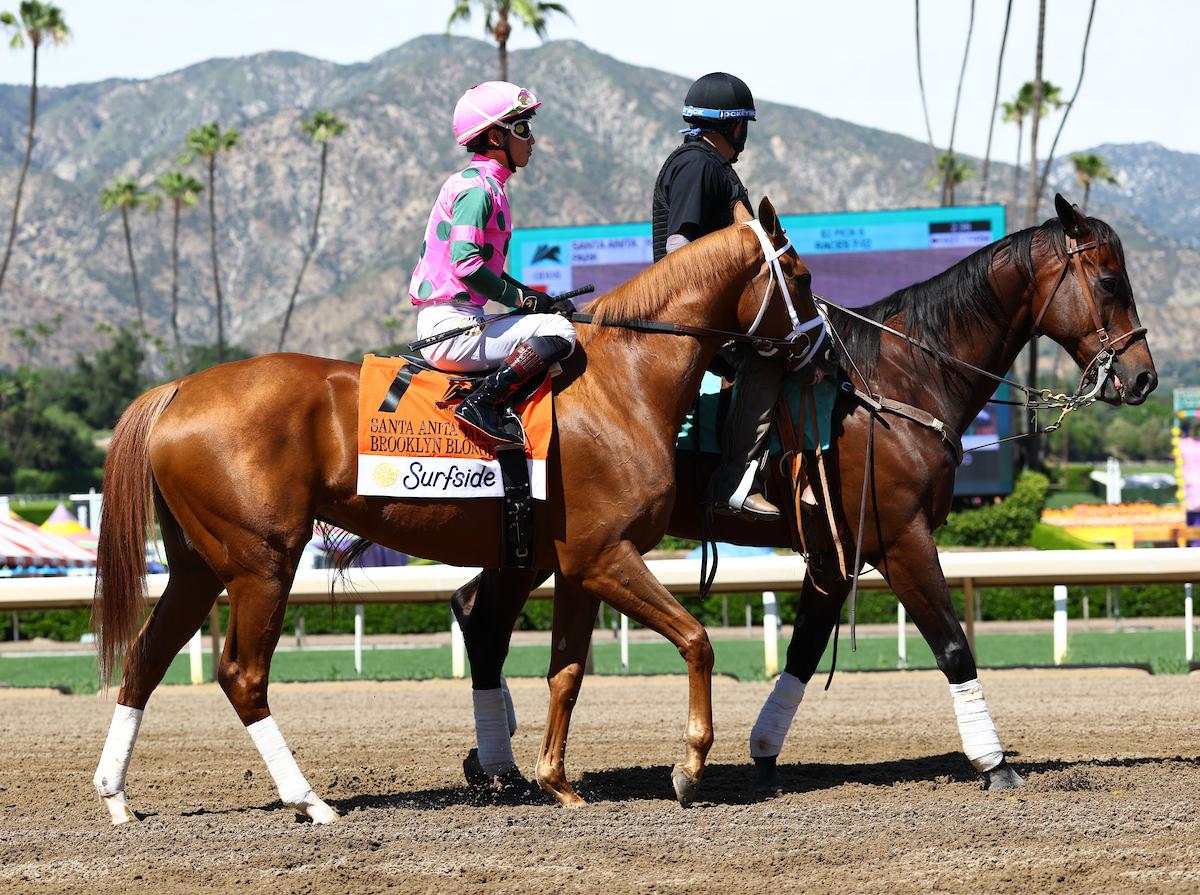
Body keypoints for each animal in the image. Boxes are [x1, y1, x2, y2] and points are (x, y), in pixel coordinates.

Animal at [88, 197, 820, 825]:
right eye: (802, 276)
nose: (821, 350)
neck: (624, 383)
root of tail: (178, 389)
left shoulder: (577, 566)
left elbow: (566, 672)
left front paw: (557, 781)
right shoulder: (606, 555)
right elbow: (696, 640)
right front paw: (689, 766)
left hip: (197, 566)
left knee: (145, 657)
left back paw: (117, 795)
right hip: (261, 564)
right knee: (242, 675)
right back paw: (310, 799)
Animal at [450, 195, 1156, 802]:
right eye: (1111, 281)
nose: (1144, 376)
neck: (899, 379)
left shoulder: (836, 552)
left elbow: (805, 648)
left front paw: (762, 752)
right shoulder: (901, 537)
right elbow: (952, 644)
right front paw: (995, 762)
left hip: (535, 542)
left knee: (476, 610)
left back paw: (494, 758)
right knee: (484, 616)